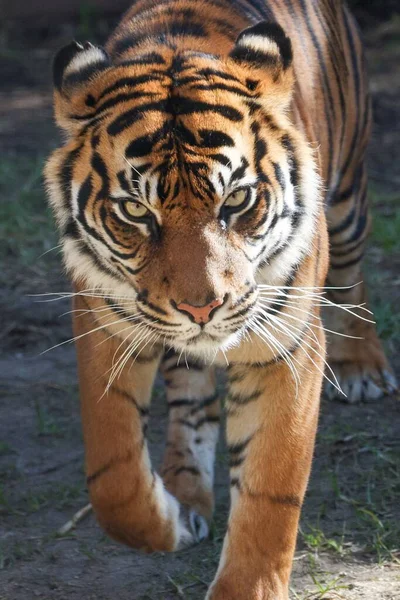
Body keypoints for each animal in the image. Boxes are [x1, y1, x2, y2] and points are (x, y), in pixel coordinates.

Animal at [44, 1, 396, 600]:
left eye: (237, 200)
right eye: (136, 211)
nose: (201, 309)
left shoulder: (287, 348)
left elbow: (270, 495)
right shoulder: (104, 325)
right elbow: (114, 478)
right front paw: (171, 520)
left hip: (348, 195)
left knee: (353, 276)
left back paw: (365, 368)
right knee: (191, 399)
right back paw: (185, 491)